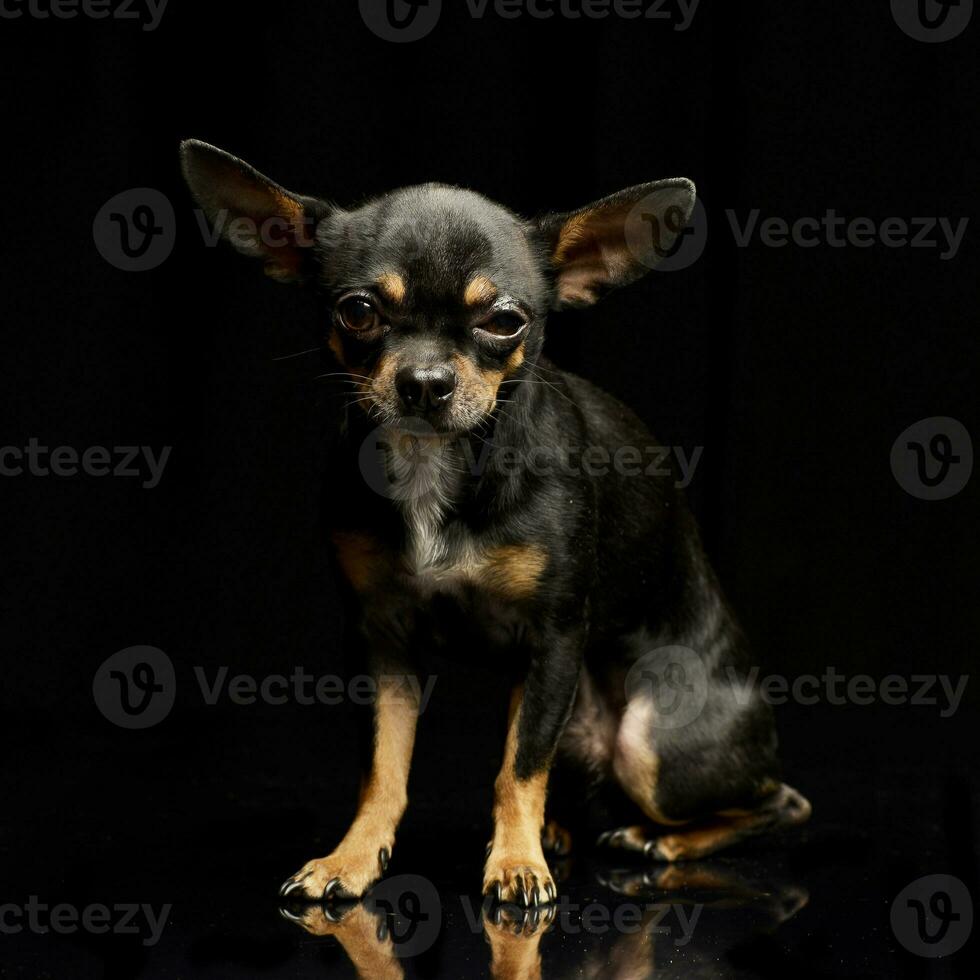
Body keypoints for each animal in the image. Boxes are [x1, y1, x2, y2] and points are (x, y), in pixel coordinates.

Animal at [180, 140, 808, 912]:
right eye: (358, 312)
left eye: (505, 321)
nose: (425, 383)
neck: (436, 467)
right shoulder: (380, 641)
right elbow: (384, 770)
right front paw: (352, 858)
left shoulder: (553, 638)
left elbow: (519, 767)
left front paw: (516, 865)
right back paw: (562, 832)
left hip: (652, 745)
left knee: (779, 802)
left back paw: (654, 840)